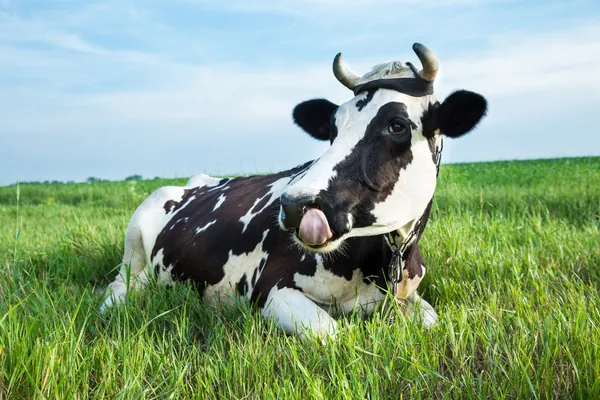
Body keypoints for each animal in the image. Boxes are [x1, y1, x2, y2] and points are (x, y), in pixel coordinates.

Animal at [102, 45, 488, 342]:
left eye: (396, 125)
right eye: (333, 127)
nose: (294, 205)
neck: (384, 263)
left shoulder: (411, 297)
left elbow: (431, 320)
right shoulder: (271, 291)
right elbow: (334, 335)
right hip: (134, 241)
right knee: (120, 285)